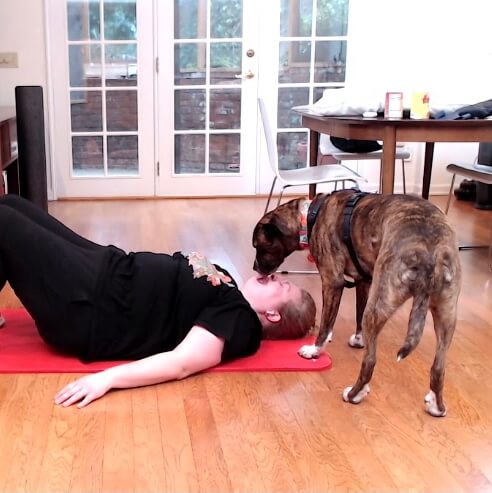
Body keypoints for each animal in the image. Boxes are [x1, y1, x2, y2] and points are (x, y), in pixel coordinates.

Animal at [252, 191, 464, 416]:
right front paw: (359, 339)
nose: (255, 268)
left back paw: (354, 394)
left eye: (259, 246)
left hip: (380, 303)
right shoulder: (364, 281)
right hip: (446, 314)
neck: (310, 215)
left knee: (370, 361)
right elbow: (358, 314)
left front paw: (315, 350)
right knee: (439, 367)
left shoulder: (332, 281)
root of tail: (430, 254)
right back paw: (437, 406)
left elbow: (326, 325)